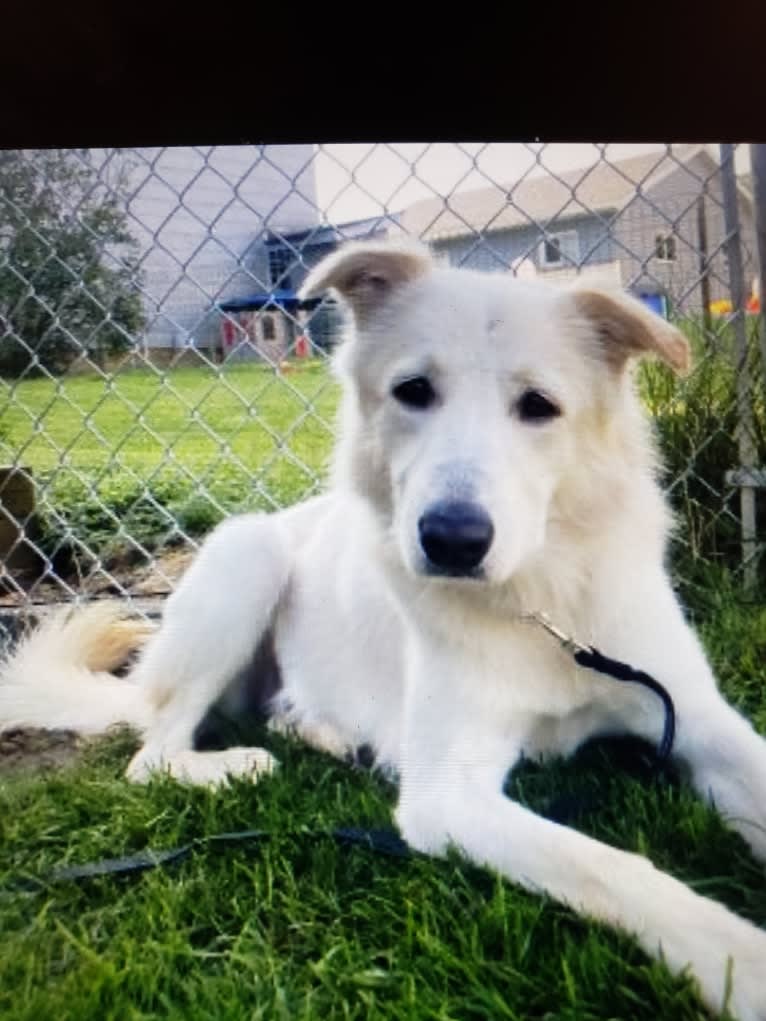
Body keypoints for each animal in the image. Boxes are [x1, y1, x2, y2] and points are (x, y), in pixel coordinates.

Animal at [1, 240, 766, 1021]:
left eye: (540, 407)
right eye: (414, 391)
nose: (452, 540)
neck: (544, 605)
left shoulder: (695, 716)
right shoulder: (446, 795)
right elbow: (611, 865)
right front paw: (741, 962)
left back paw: (329, 734)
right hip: (248, 555)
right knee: (151, 755)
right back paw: (236, 763)